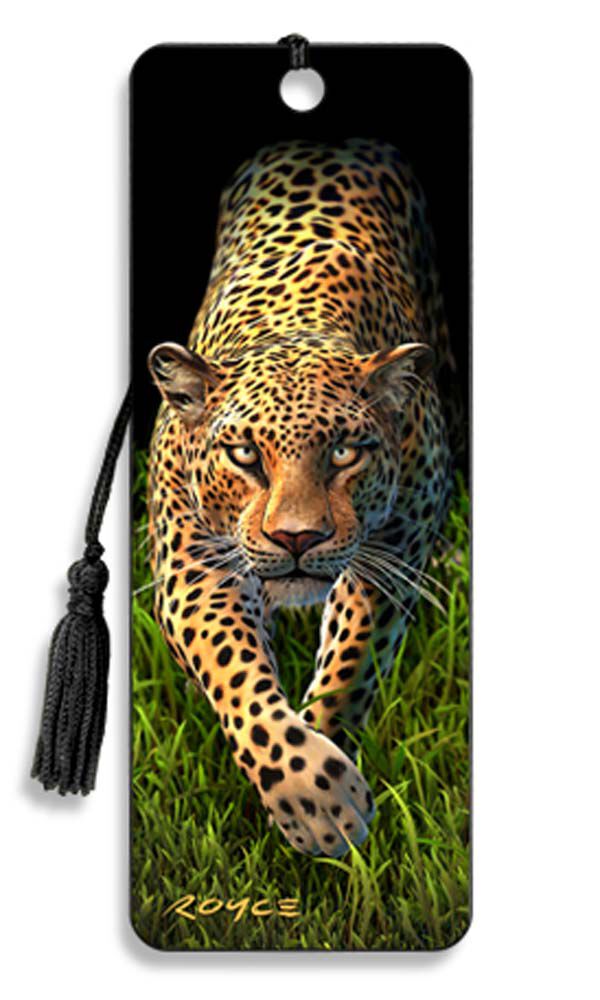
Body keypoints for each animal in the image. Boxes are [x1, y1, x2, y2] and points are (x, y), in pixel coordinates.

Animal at [146, 138, 456, 858]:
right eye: (243, 455)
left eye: (344, 453)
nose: (296, 539)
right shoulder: (194, 566)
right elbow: (236, 675)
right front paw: (313, 795)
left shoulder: (394, 548)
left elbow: (351, 663)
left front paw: (327, 794)